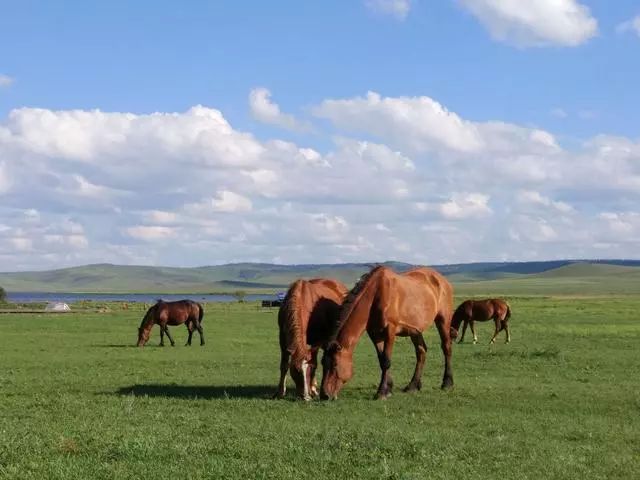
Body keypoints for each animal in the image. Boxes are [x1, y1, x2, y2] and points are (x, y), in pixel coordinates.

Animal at [320, 266, 456, 402]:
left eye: (335, 364)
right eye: (322, 363)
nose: (324, 395)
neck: (376, 295)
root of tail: (441, 279)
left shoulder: (390, 330)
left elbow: (386, 360)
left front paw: (381, 392)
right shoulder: (374, 334)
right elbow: (381, 360)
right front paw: (388, 388)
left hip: (443, 320)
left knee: (446, 348)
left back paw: (447, 383)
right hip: (415, 330)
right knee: (421, 351)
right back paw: (413, 385)